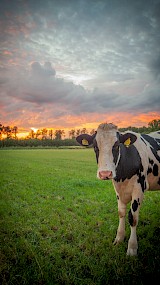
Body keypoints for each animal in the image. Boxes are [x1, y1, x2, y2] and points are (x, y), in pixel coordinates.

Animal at [76, 122, 160, 255]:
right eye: (95, 146)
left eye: (116, 145)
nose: (105, 173)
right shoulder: (118, 189)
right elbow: (121, 213)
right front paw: (119, 238)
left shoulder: (139, 188)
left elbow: (133, 217)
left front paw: (132, 247)